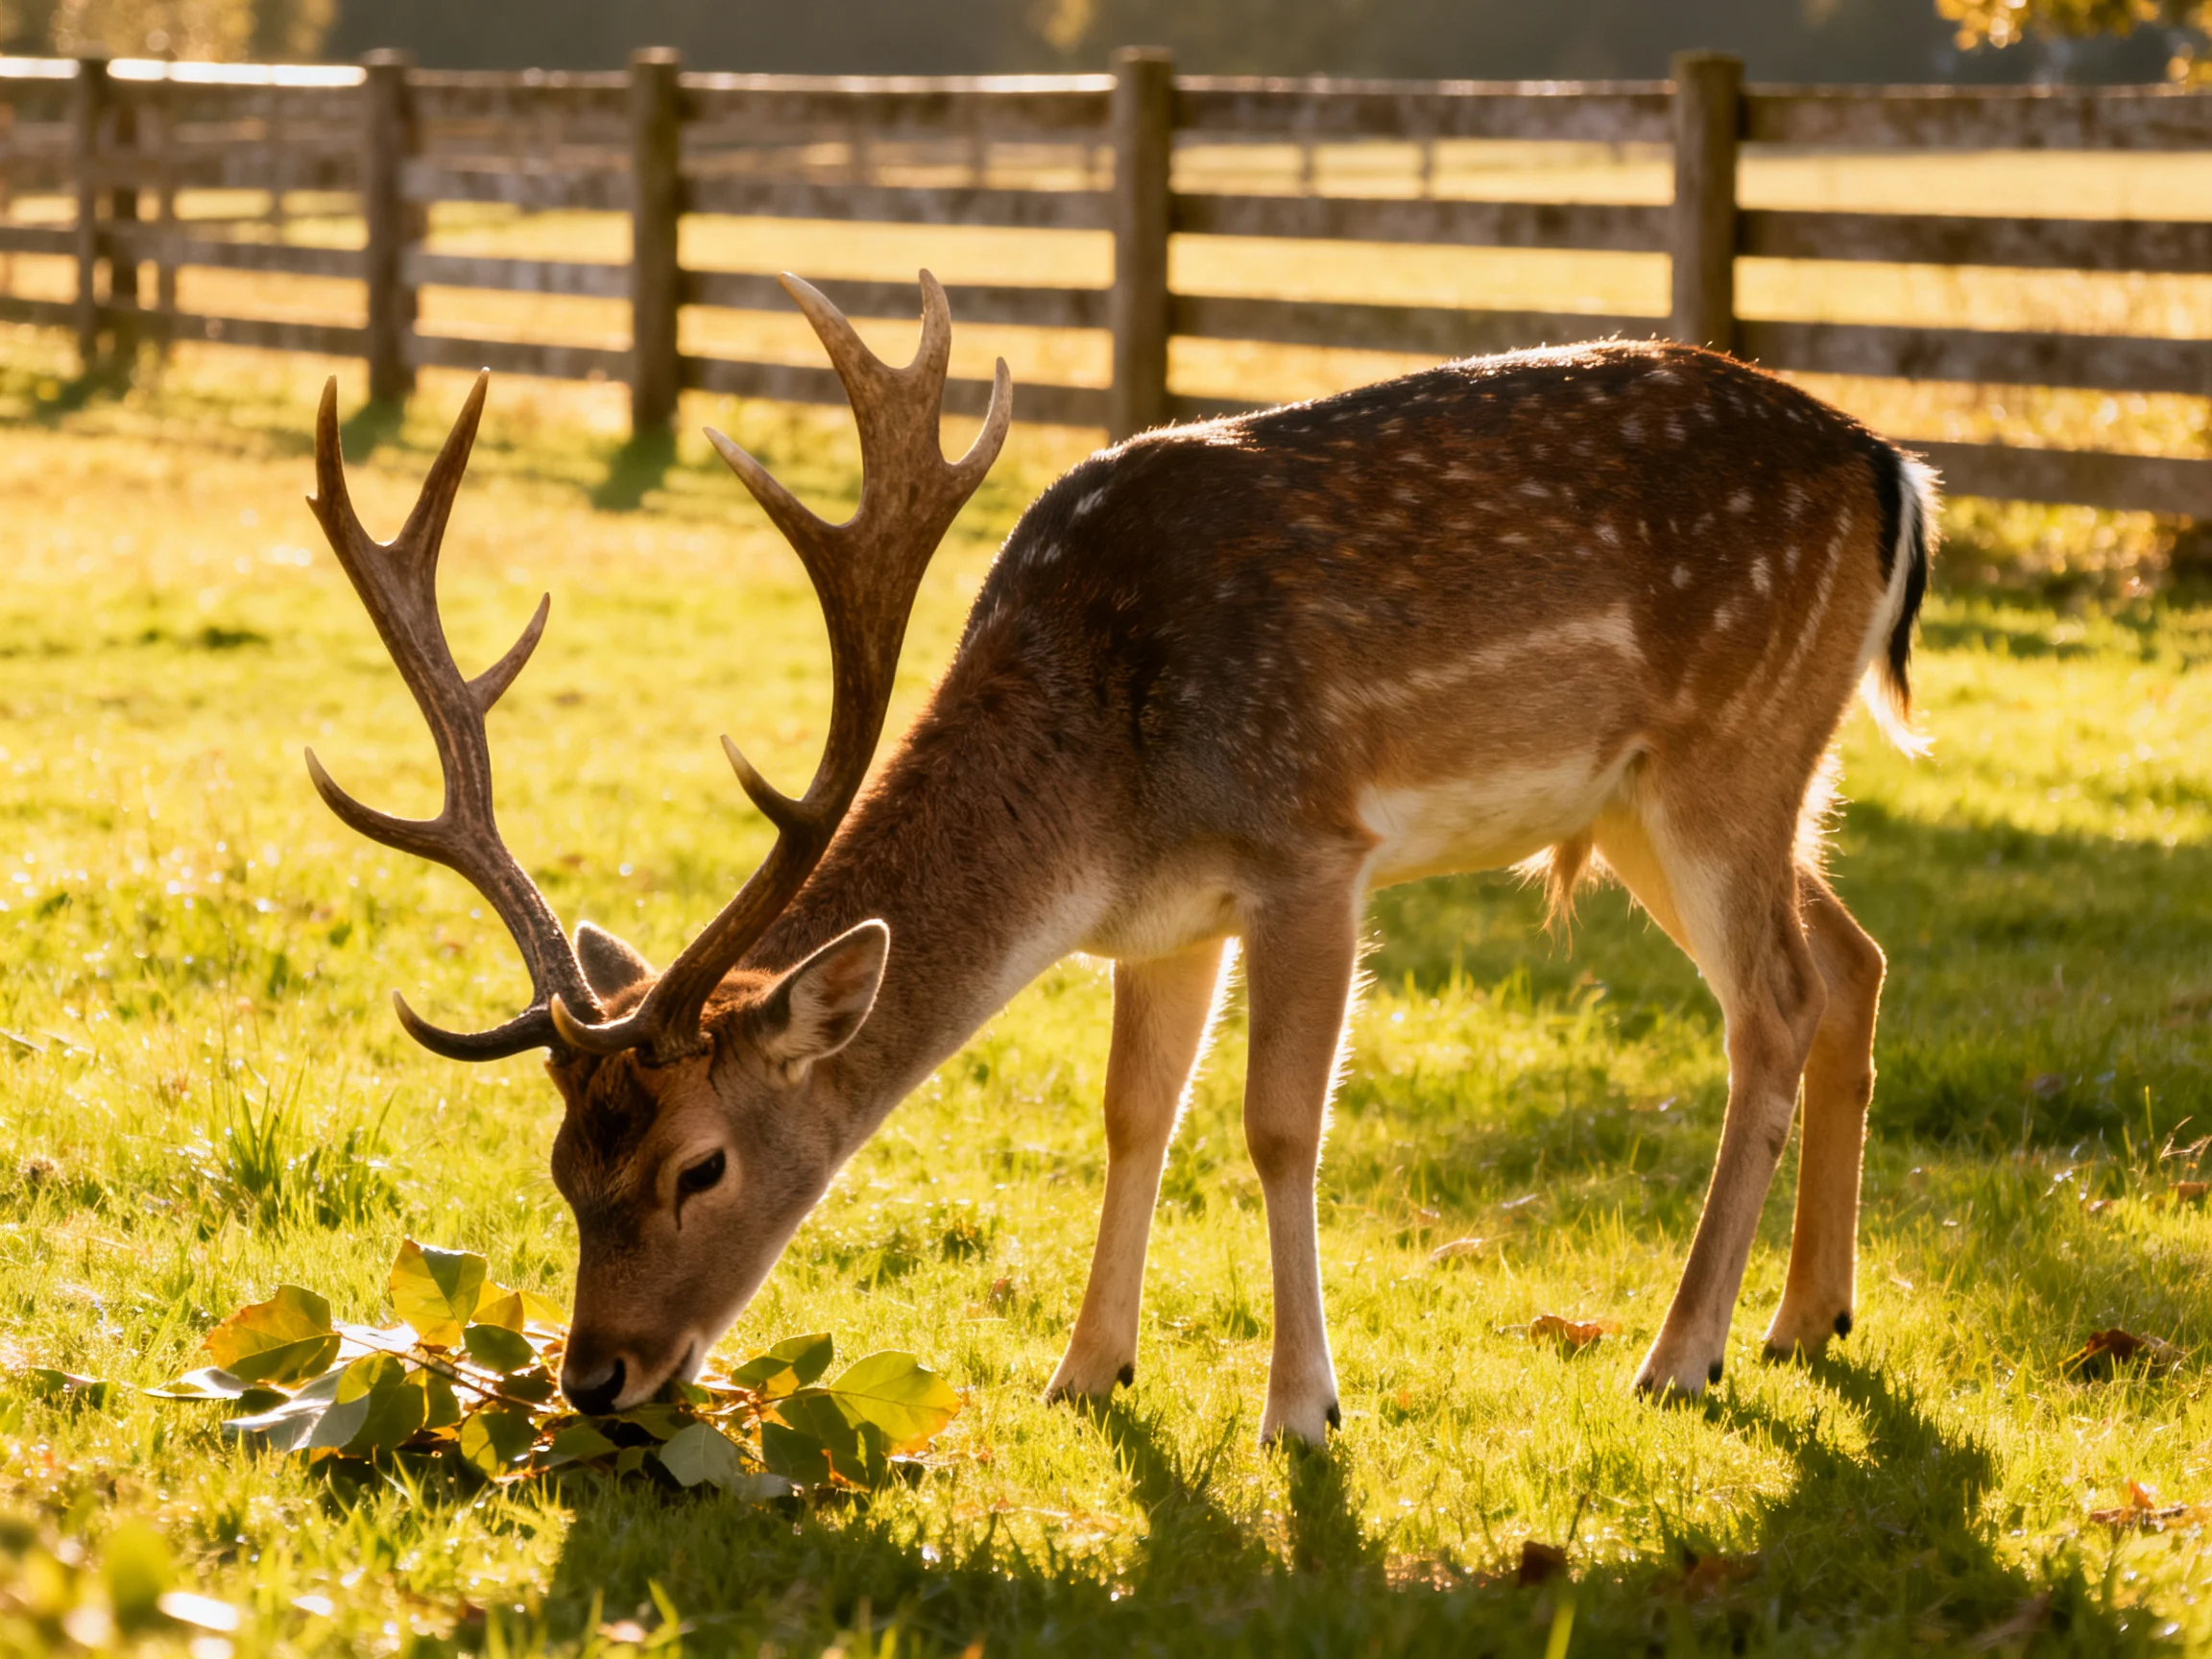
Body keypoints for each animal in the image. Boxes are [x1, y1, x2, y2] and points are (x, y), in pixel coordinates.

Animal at [300, 270, 1933, 1446]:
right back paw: (1809, 1318)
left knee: (1776, 1003)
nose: (596, 1379)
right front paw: (1087, 1371)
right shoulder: (1168, 919)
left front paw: (1301, 1410)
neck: (1106, 795)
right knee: (1854, 960)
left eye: (701, 1165)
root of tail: (1890, 469)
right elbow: (1133, 1116)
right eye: (565, 1166)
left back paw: (1681, 1353)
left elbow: (1277, 1126)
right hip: (1677, 791)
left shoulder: (1309, 843)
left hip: (1730, 745)